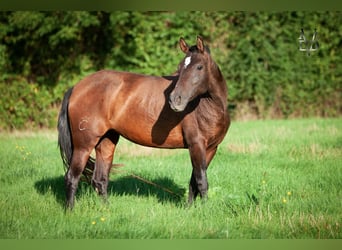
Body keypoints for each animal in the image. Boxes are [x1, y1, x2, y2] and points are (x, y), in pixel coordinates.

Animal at [58, 36, 230, 209]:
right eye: (180, 67)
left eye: (199, 67)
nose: (175, 100)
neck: (207, 106)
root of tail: (76, 87)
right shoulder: (196, 145)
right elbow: (201, 181)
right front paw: (203, 209)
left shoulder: (210, 148)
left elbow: (194, 181)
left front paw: (189, 208)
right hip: (83, 145)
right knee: (72, 176)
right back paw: (70, 210)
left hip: (106, 141)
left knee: (100, 179)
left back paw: (106, 209)